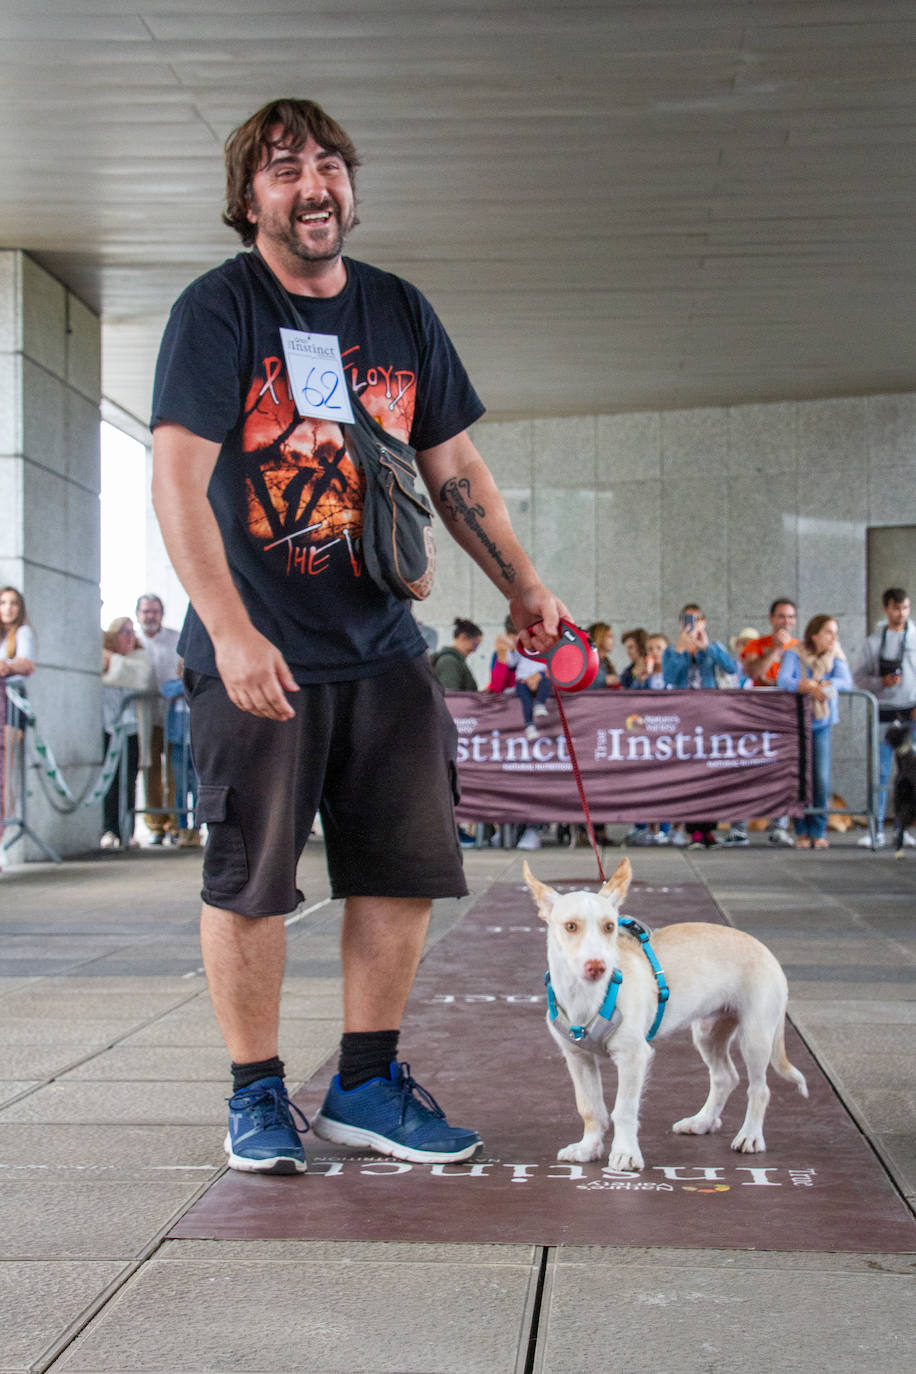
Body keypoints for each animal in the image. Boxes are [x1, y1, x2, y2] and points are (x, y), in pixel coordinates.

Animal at [521, 857, 807, 1170]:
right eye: (570, 926)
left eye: (609, 927)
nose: (597, 966)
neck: (584, 995)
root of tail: (764, 948)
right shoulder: (578, 1058)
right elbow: (589, 1107)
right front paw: (588, 1147)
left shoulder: (634, 1057)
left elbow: (624, 1109)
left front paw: (625, 1153)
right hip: (709, 1033)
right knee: (725, 1077)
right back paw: (702, 1121)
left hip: (755, 1036)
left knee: (759, 1089)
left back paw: (750, 1136)